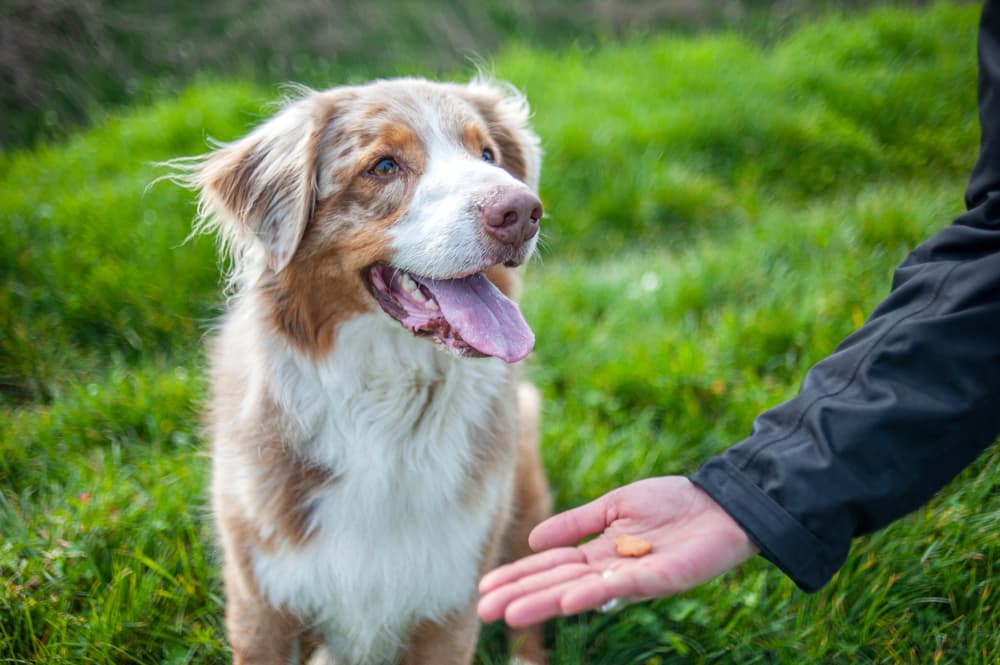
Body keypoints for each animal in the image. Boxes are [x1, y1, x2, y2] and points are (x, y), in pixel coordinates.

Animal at [171, 79, 552, 664]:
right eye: (384, 166)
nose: (523, 210)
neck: (384, 405)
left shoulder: (451, 603)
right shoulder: (261, 602)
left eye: (487, 155)